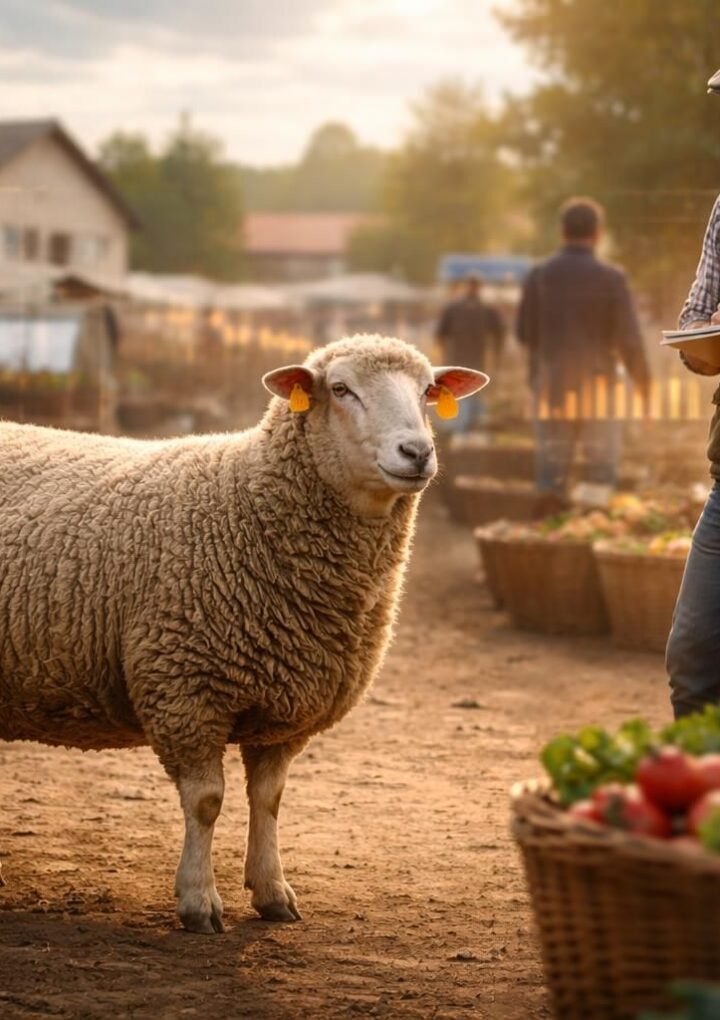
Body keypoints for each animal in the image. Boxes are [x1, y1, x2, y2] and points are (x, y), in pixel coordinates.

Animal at [0, 333, 488, 934]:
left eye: (426, 392)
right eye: (341, 389)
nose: (417, 452)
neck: (245, 505)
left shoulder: (287, 704)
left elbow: (269, 799)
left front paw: (273, 892)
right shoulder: (184, 688)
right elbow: (207, 801)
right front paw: (198, 901)